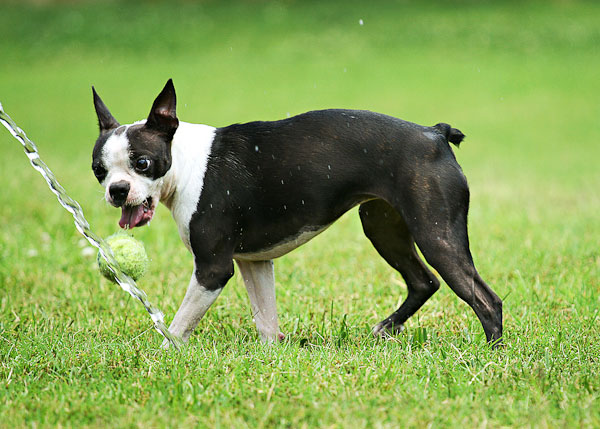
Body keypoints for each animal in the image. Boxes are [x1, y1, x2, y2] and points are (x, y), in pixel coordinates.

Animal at [90, 79, 502, 344]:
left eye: (142, 163)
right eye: (99, 170)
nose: (117, 190)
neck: (187, 163)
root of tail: (434, 133)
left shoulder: (213, 269)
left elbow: (177, 326)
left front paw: (163, 356)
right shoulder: (254, 262)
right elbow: (266, 320)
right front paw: (272, 355)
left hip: (436, 234)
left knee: (485, 298)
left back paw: (491, 355)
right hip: (383, 228)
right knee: (424, 281)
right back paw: (386, 329)